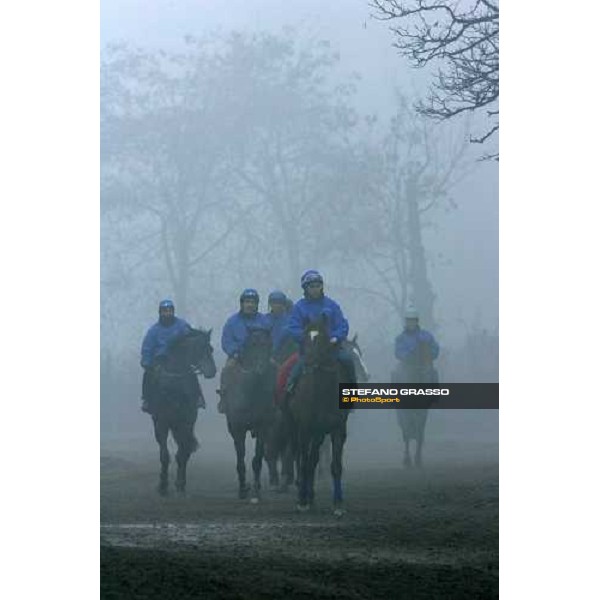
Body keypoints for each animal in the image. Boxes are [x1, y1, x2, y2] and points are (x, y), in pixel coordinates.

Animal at [149, 330, 217, 494]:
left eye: (211, 349)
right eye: (200, 348)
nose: (212, 371)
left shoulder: (187, 422)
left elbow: (183, 453)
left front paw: (180, 484)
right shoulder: (161, 423)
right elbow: (164, 455)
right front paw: (163, 485)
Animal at [224, 328, 278, 502]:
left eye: (269, 344)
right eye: (252, 344)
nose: (260, 368)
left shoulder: (262, 427)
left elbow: (257, 459)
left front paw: (256, 490)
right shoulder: (238, 429)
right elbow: (240, 458)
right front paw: (242, 489)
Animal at [288, 314, 350, 516]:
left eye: (322, 338)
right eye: (304, 337)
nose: (308, 362)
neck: (322, 392)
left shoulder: (337, 429)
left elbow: (336, 466)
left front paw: (338, 504)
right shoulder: (304, 428)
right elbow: (303, 462)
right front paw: (301, 501)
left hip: (319, 433)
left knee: (313, 459)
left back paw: (311, 496)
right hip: (297, 428)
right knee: (303, 459)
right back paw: (305, 496)